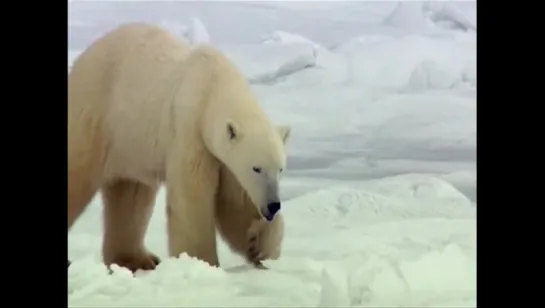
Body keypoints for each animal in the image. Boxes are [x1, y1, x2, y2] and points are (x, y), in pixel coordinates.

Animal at [67, 22, 288, 270]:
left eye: (280, 169)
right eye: (256, 168)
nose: (273, 205)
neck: (213, 85)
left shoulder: (221, 156)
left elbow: (235, 202)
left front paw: (259, 245)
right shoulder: (189, 129)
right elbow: (192, 197)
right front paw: (200, 262)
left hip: (130, 144)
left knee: (131, 194)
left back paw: (137, 259)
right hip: (96, 113)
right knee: (78, 173)